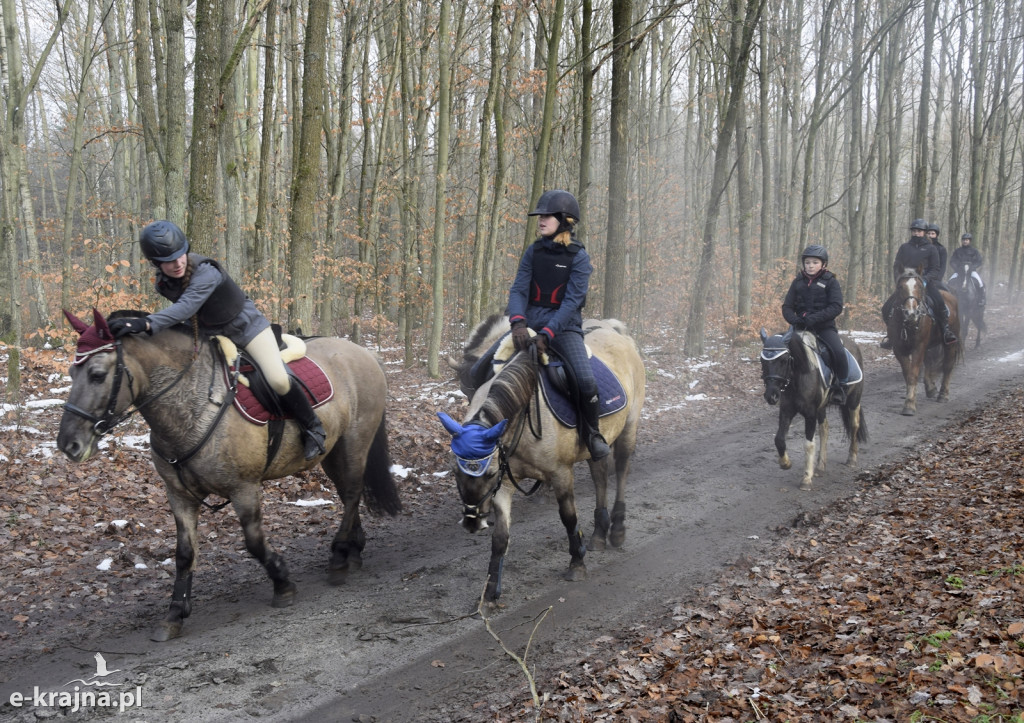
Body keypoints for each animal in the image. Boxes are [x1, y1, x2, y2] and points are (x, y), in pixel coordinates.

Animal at [55, 307, 399, 639]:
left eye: (97, 375)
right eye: (72, 373)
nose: (68, 443)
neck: (190, 407)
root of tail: (364, 353)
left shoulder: (243, 489)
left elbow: (254, 542)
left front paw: (282, 583)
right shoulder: (180, 497)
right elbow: (184, 554)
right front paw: (174, 614)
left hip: (355, 442)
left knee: (352, 493)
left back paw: (340, 557)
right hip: (335, 451)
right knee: (347, 494)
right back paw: (353, 550)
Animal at [757, 327, 868, 489]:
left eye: (784, 360)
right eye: (762, 361)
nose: (771, 395)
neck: (798, 378)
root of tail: (854, 344)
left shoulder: (810, 414)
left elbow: (809, 444)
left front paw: (806, 479)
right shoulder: (786, 411)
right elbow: (779, 439)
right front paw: (785, 463)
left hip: (853, 400)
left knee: (854, 425)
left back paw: (851, 459)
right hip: (822, 407)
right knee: (824, 429)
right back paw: (820, 466)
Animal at [884, 268, 962, 417]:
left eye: (920, 287)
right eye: (900, 287)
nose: (911, 314)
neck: (907, 325)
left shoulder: (918, 347)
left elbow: (913, 373)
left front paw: (909, 405)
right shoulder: (899, 350)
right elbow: (908, 373)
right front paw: (912, 399)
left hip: (950, 344)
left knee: (947, 366)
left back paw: (943, 395)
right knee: (929, 363)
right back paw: (931, 389)